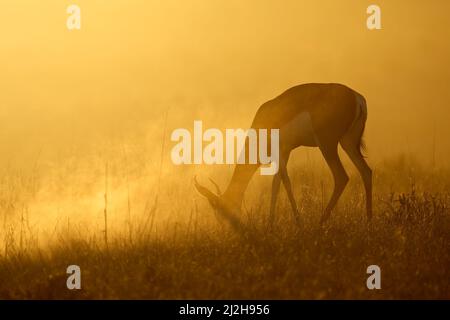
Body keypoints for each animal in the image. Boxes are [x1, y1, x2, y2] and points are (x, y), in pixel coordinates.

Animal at [193, 82, 372, 228]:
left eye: (222, 211)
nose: (229, 228)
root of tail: (356, 97)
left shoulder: (279, 152)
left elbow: (286, 182)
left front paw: (299, 222)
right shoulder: (285, 152)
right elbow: (276, 184)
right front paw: (271, 224)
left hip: (327, 145)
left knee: (341, 177)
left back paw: (320, 223)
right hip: (348, 143)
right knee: (366, 171)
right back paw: (368, 222)